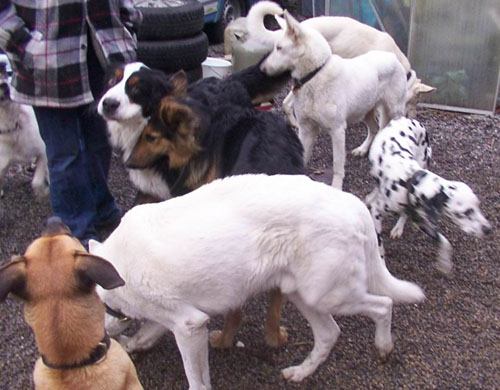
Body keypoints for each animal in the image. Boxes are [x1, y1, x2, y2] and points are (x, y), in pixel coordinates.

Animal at [91, 174, 426, 390]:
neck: (117, 267)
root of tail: (354, 205)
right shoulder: (178, 319)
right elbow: (144, 335)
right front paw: (131, 345)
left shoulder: (190, 325)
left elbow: (196, 379)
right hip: (303, 293)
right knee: (329, 333)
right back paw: (301, 373)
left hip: (329, 294)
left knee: (383, 304)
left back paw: (384, 347)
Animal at [368, 117, 492, 272]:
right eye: (466, 212)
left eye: (478, 206)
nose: (488, 229)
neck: (408, 182)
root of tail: (407, 118)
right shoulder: (376, 214)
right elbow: (380, 248)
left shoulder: (422, 220)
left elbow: (444, 241)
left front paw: (444, 261)